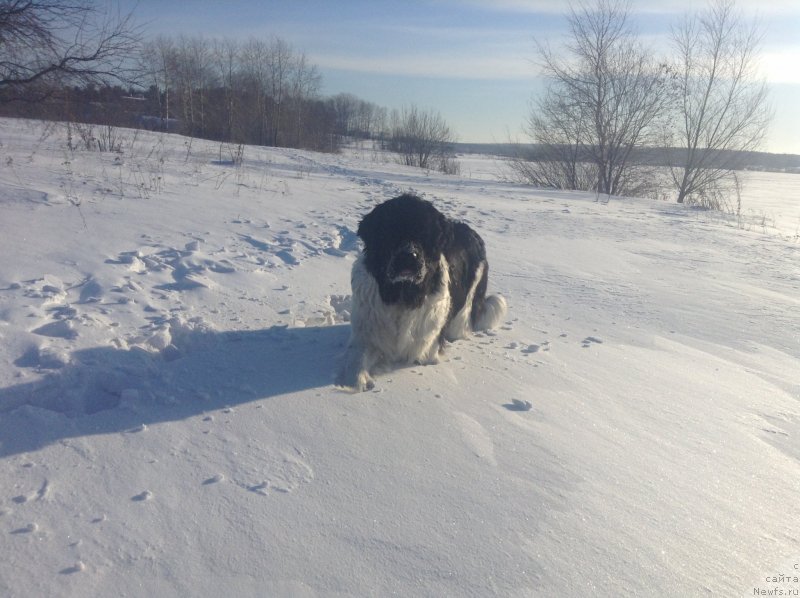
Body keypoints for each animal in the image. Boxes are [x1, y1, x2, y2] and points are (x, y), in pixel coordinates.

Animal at [338, 195, 506, 394]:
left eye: (426, 235)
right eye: (390, 230)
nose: (409, 256)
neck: (403, 294)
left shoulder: (425, 347)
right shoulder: (366, 333)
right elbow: (357, 359)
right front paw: (357, 382)